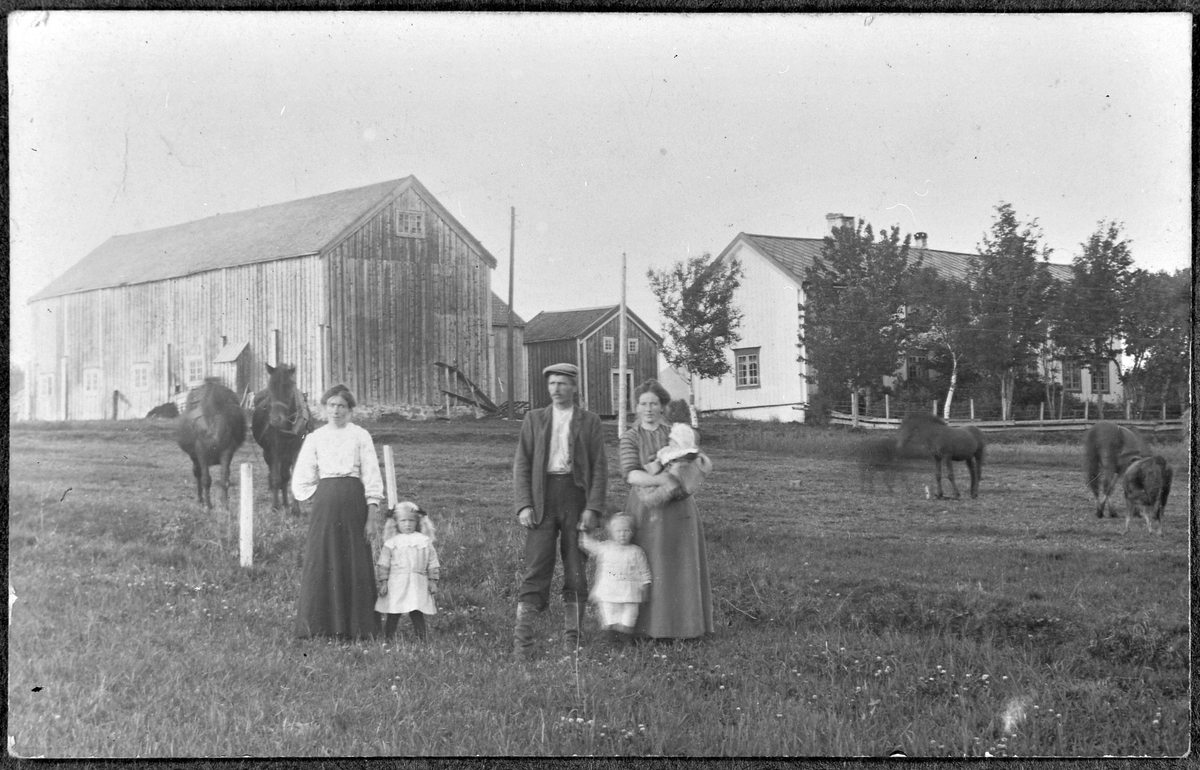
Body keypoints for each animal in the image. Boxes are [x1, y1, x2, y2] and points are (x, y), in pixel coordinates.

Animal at [176, 374, 247, 506]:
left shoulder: (226, 452)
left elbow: (223, 479)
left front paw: (223, 505)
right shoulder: (201, 453)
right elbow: (206, 479)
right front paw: (209, 505)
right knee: (198, 474)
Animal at [250, 362, 309, 513]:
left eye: (289, 385)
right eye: (270, 385)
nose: (276, 420)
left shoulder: (296, 450)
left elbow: (291, 478)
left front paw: (295, 509)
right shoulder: (274, 450)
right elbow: (276, 478)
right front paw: (274, 507)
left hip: (286, 456)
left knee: (285, 476)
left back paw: (286, 504)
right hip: (269, 454)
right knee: (275, 475)